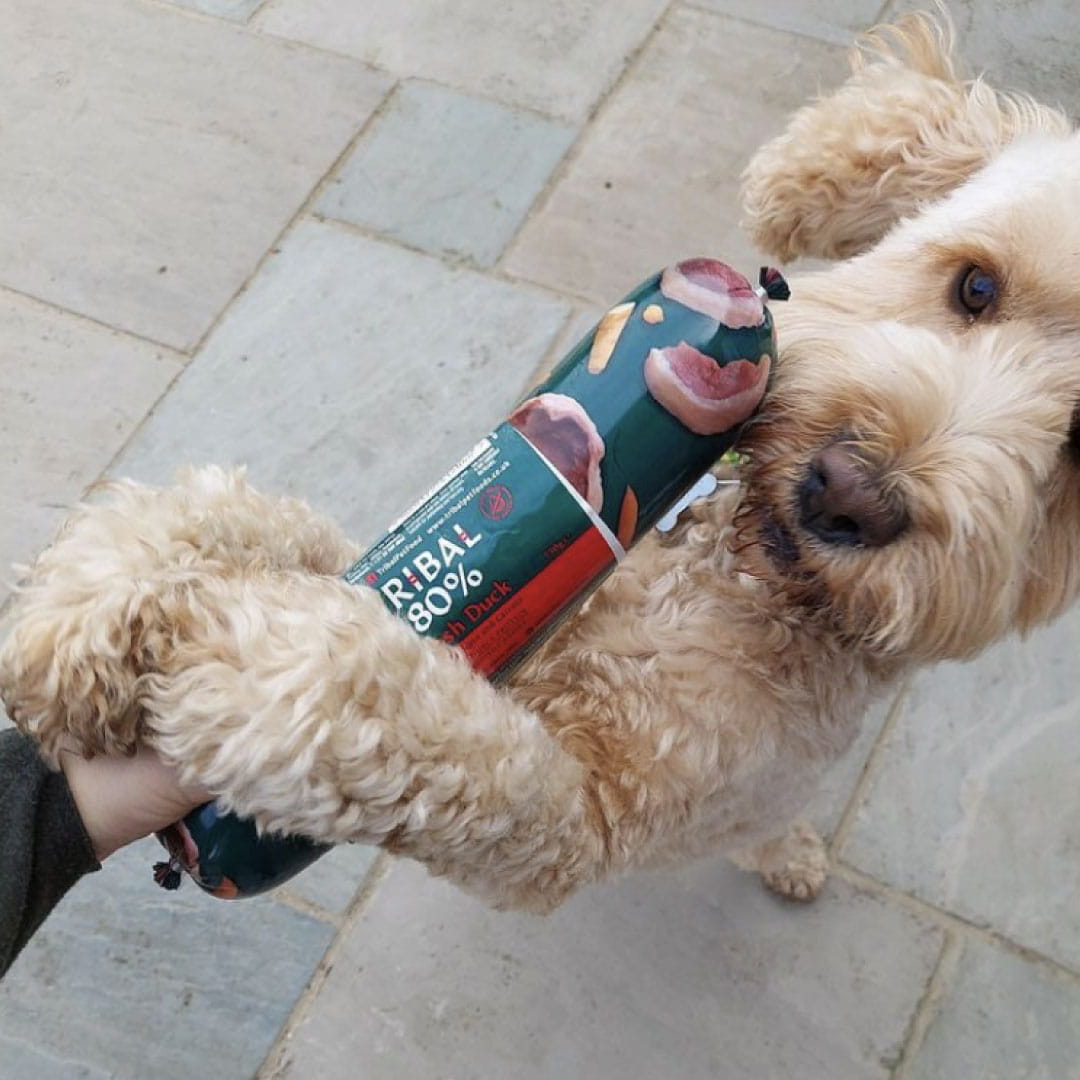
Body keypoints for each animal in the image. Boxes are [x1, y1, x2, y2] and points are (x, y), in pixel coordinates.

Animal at [3, 12, 1078, 913]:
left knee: (760, 823)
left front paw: (272, 662)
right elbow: (275, 530)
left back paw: (790, 857)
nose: (848, 495)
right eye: (976, 286)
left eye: (1075, 454)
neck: (732, 565)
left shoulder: (595, 811)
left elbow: (439, 739)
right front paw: (97, 604)